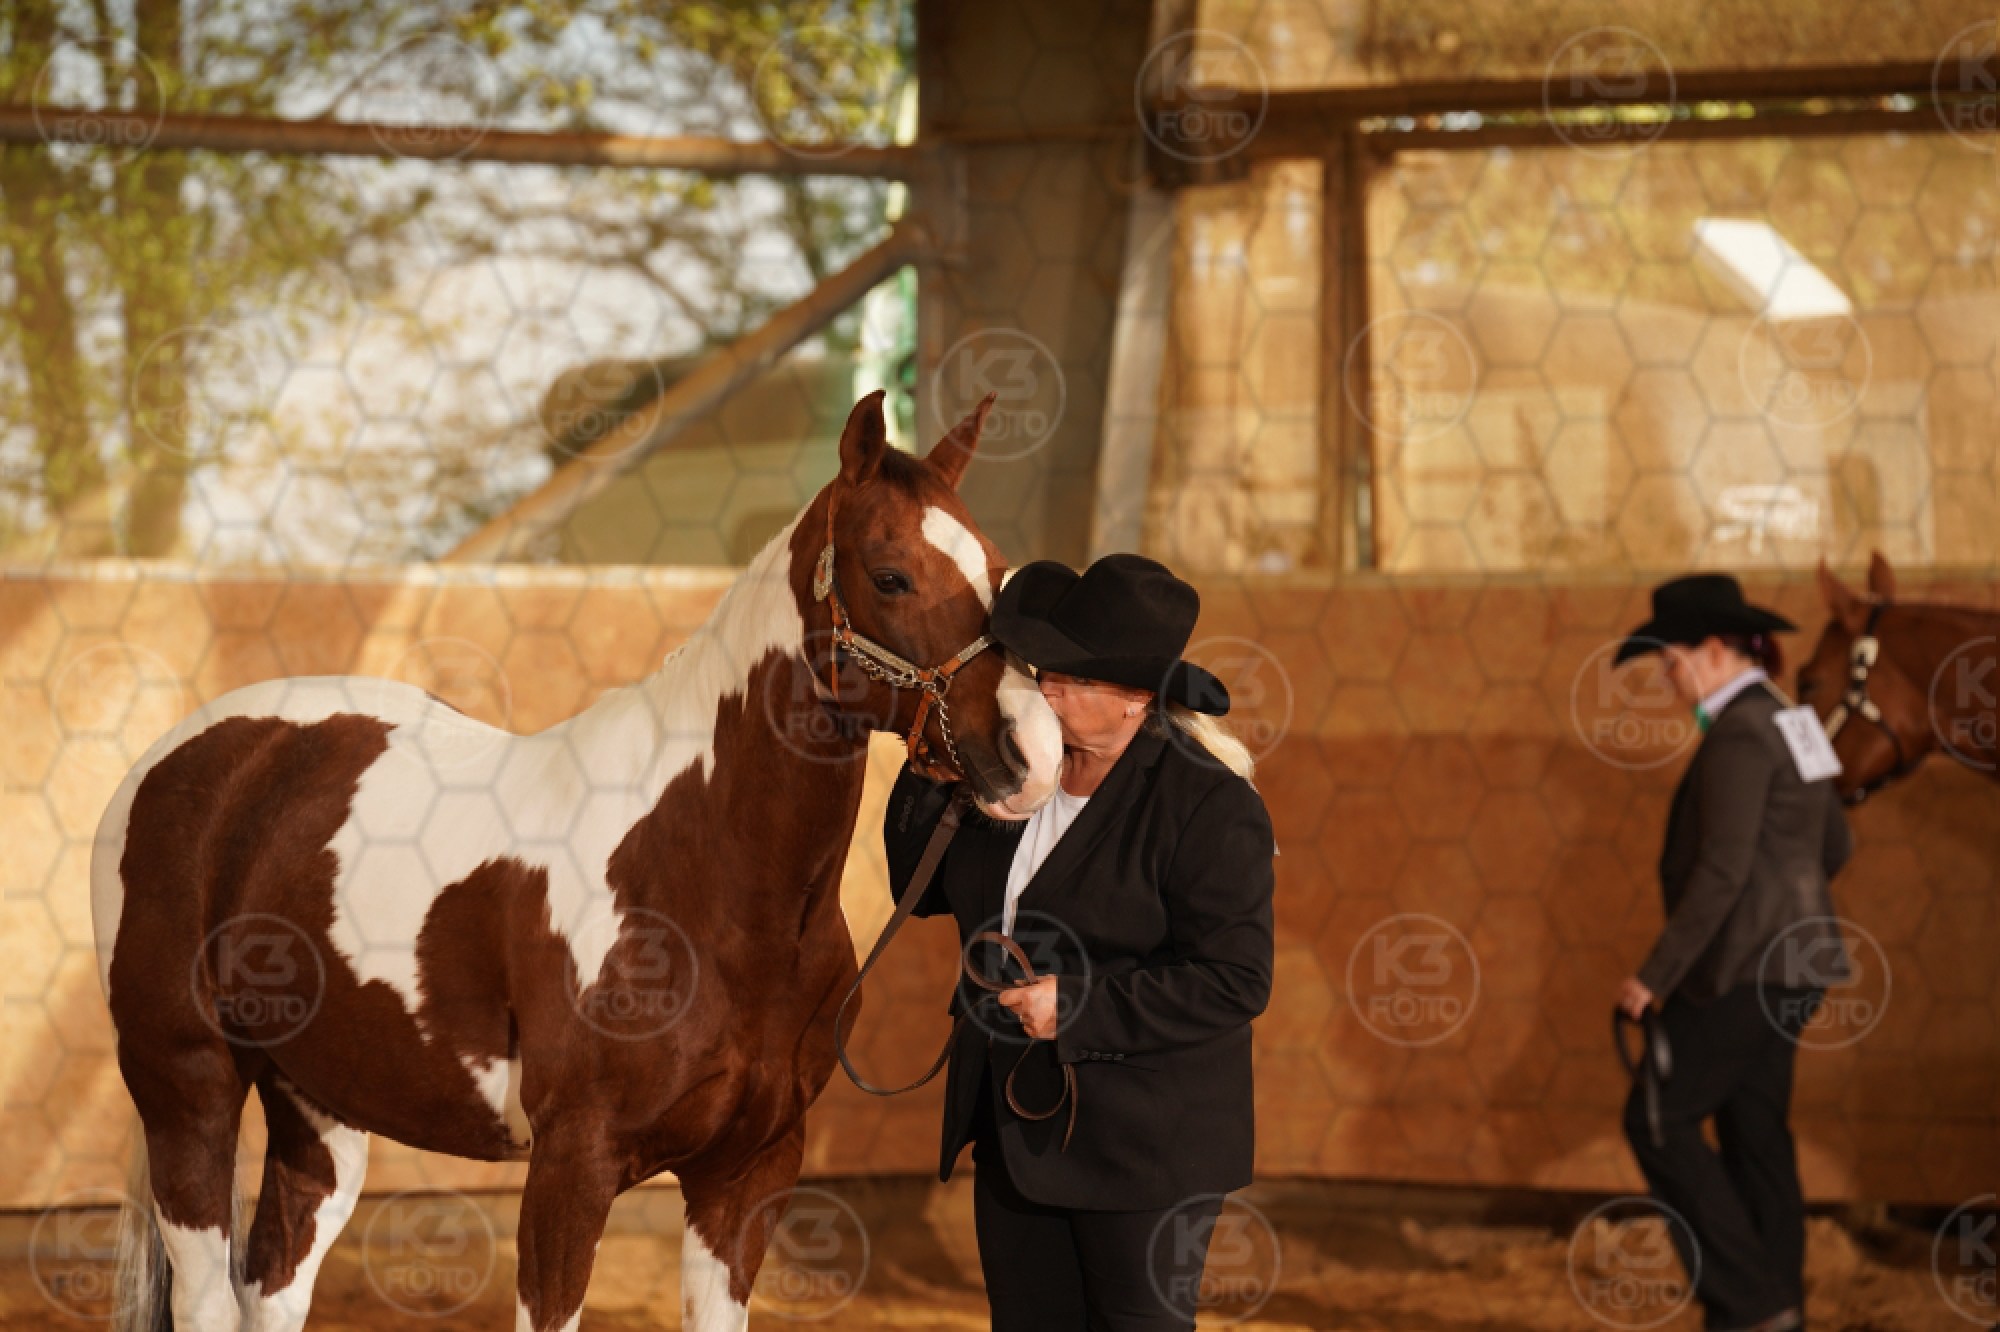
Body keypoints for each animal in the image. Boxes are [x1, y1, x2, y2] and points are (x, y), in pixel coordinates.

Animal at [88, 389, 1064, 1332]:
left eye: (996, 570)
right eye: (890, 574)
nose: (1034, 754)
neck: (708, 880)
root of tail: (181, 757)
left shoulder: (750, 1169)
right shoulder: (572, 1165)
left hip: (319, 1107)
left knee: (276, 1283)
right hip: (186, 1086)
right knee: (210, 1297)